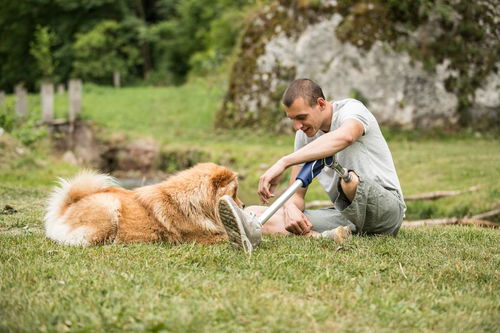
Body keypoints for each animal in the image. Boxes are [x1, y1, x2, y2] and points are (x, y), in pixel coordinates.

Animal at [44, 162, 243, 245]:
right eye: (234, 192)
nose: (242, 206)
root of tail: (67, 206)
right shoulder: (201, 237)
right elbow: (226, 236)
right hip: (108, 210)